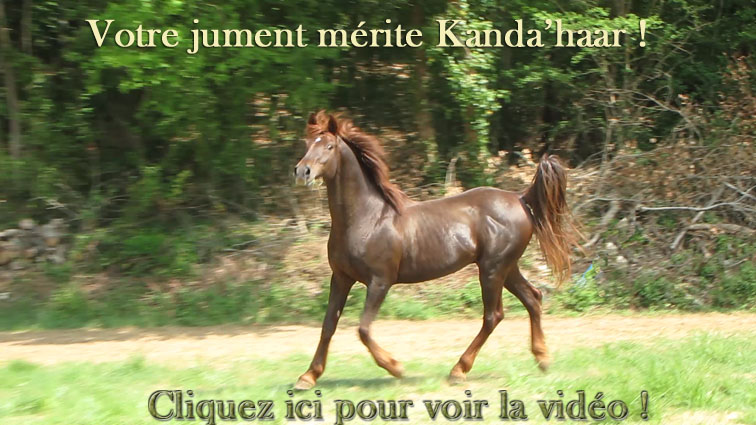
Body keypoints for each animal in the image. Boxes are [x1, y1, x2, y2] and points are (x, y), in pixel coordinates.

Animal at [292, 111, 577, 389]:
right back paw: (542, 359)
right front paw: (308, 377)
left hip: (493, 269)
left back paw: (458, 371)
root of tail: (521, 199)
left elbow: (363, 329)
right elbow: (328, 326)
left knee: (493, 315)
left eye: (329, 146)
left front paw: (396, 367)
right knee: (533, 298)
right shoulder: (341, 278)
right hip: (507, 268)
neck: (367, 218)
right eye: (307, 144)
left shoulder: (380, 281)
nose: (302, 171)